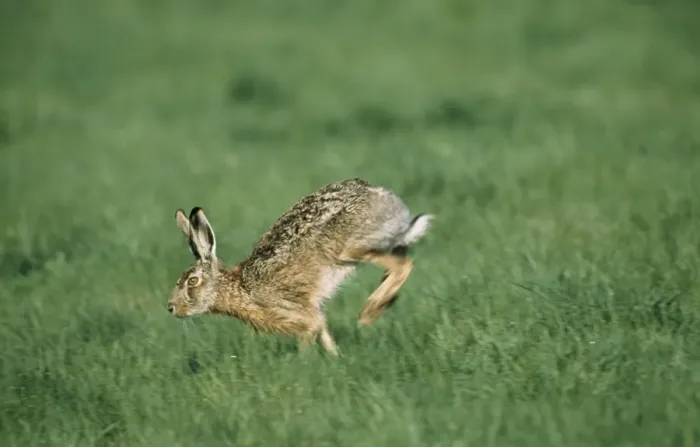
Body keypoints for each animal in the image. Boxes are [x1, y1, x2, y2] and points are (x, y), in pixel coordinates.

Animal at [168, 178, 433, 356]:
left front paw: (304, 365)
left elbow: (310, 332)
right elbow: (323, 330)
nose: (171, 308)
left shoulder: (293, 312)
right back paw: (384, 302)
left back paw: (369, 312)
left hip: (347, 248)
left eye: (192, 281)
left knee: (404, 265)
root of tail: (391, 202)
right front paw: (336, 359)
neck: (238, 287)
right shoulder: (313, 312)